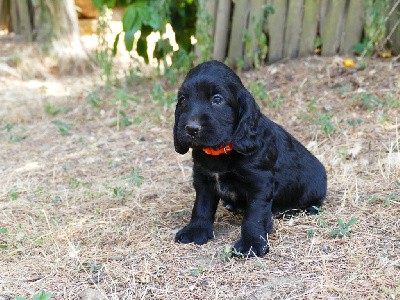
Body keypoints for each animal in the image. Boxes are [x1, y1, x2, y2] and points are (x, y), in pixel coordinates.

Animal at [173, 60, 326, 255]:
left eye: (217, 99)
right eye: (183, 99)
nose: (191, 129)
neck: (222, 150)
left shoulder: (260, 184)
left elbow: (254, 217)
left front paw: (251, 243)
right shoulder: (203, 179)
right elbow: (201, 206)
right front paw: (196, 230)